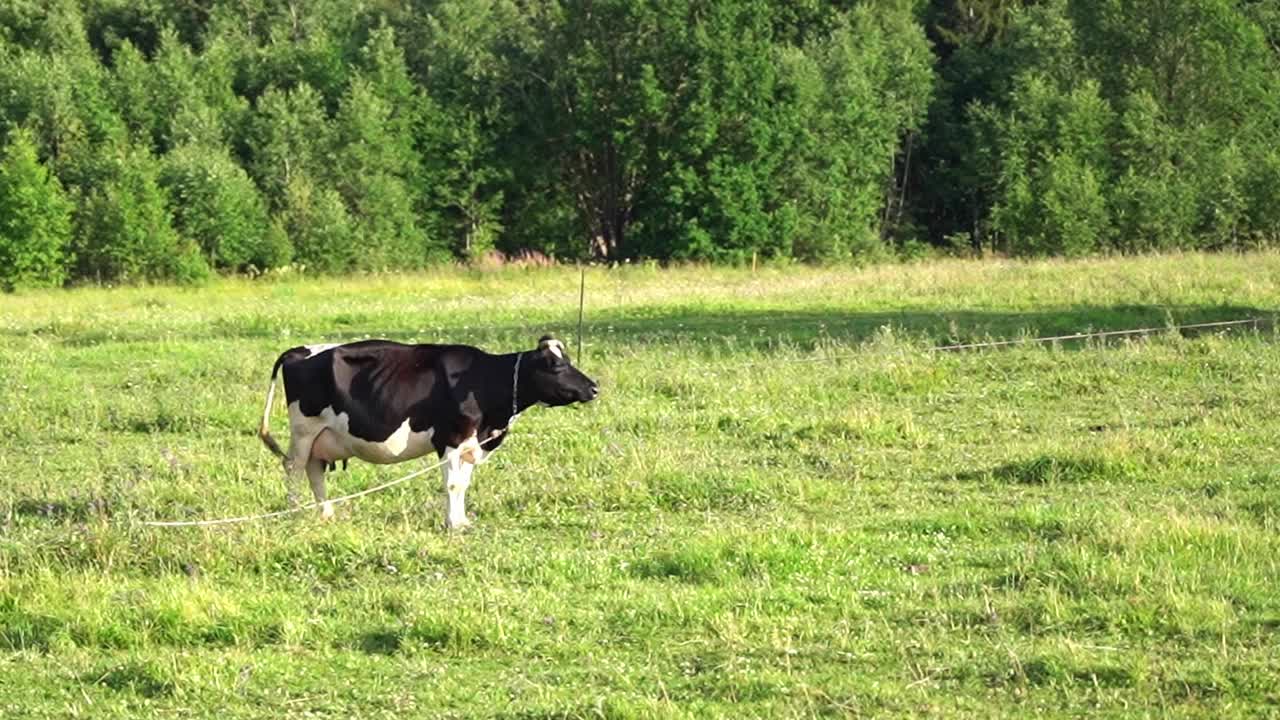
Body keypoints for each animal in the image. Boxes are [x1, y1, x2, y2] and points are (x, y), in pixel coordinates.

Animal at [262, 335, 601, 527]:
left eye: (568, 360)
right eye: (556, 365)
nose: (594, 387)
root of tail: (297, 351)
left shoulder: (471, 443)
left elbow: (463, 484)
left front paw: (461, 521)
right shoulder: (451, 439)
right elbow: (452, 485)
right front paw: (451, 524)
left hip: (323, 437)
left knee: (314, 471)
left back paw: (326, 514)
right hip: (304, 430)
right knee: (294, 467)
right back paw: (294, 513)